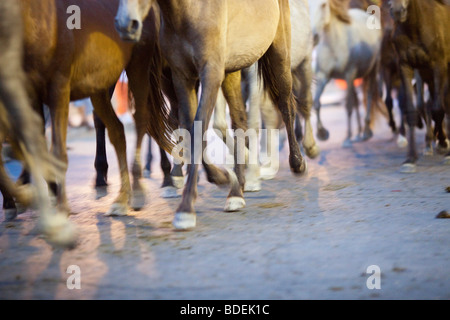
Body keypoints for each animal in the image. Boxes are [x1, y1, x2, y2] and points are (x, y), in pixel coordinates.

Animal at [7, 0, 174, 218]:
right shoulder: (31, 94)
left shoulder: (59, 88)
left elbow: (57, 152)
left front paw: (61, 207)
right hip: (101, 84)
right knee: (119, 128)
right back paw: (121, 196)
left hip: (139, 66)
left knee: (144, 119)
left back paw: (141, 189)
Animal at [115, 0, 310, 230]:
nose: (125, 24)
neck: (190, 11)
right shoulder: (181, 76)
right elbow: (189, 129)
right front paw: (222, 177)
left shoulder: (211, 74)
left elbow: (198, 130)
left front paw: (186, 208)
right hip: (232, 70)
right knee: (239, 121)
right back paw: (237, 191)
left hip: (279, 53)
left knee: (285, 104)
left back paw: (297, 164)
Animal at [310, 0, 384, 148]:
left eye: (323, 5)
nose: (313, 37)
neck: (334, 44)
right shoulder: (323, 76)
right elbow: (316, 103)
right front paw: (322, 134)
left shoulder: (349, 75)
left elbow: (348, 106)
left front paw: (348, 139)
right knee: (356, 100)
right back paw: (359, 134)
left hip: (372, 69)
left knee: (369, 94)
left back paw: (366, 132)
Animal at [390, 0, 450, 172]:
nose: (398, 11)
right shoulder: (406, 65)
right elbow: (412, 110)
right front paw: (410, 159)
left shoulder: (439, 64)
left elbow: (438, 109)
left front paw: (444, 146)